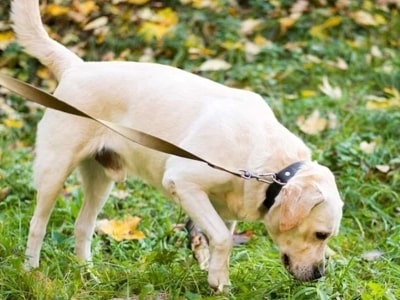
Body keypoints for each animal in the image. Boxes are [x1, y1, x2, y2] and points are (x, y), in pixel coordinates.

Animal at [11, 0, 344, 290]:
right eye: (320, 234)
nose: (319, 275)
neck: (271, 169)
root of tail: (76, 67)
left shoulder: (224, 210)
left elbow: (219, 239)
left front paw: (217, 279)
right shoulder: (183, 181)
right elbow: (223, 239)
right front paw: (219, 280)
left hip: (101, 180)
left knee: (83, 226)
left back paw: (88, 275)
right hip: (54, 172)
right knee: (37, 225)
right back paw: (31, 273)